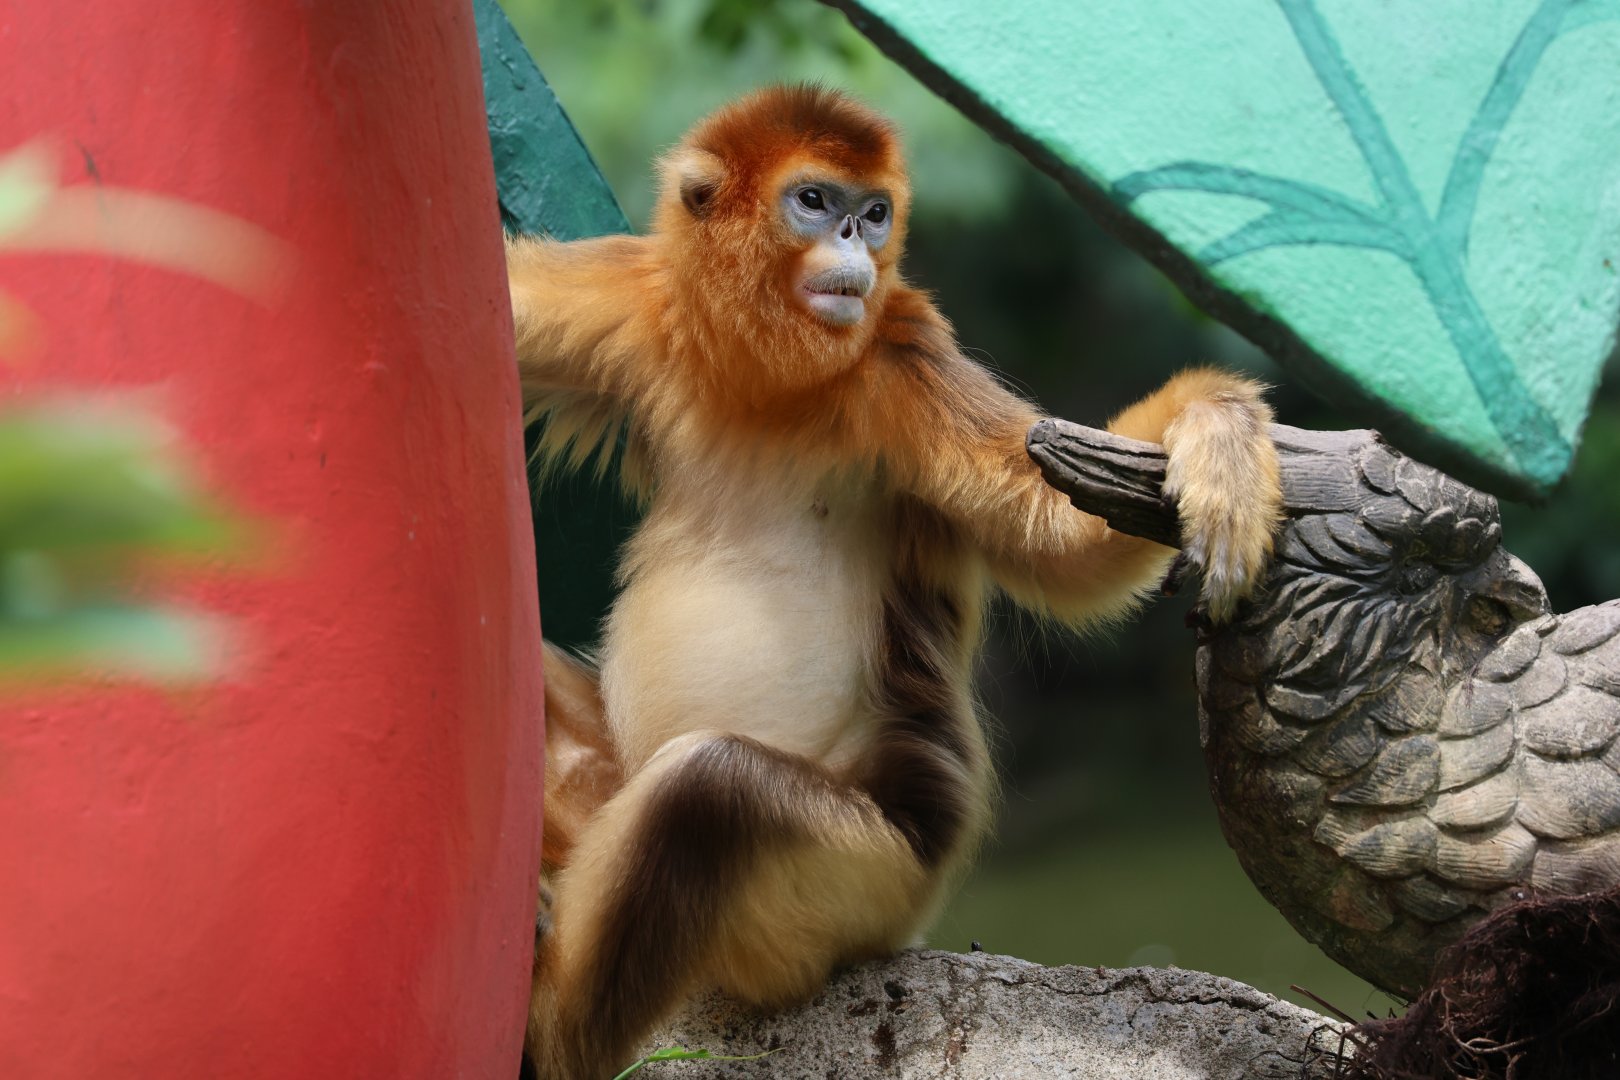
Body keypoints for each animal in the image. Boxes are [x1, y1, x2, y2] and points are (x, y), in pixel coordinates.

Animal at [506, 85, 1283, 1078]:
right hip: (605, 796)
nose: (854, 240)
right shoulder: (641, 301)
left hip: (865, 890)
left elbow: (1060, 537)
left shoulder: (900, 357)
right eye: (815, 202)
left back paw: (550, 1039)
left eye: (873, 213)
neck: (771, 386)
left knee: (707, 792)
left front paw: (1214, 430)